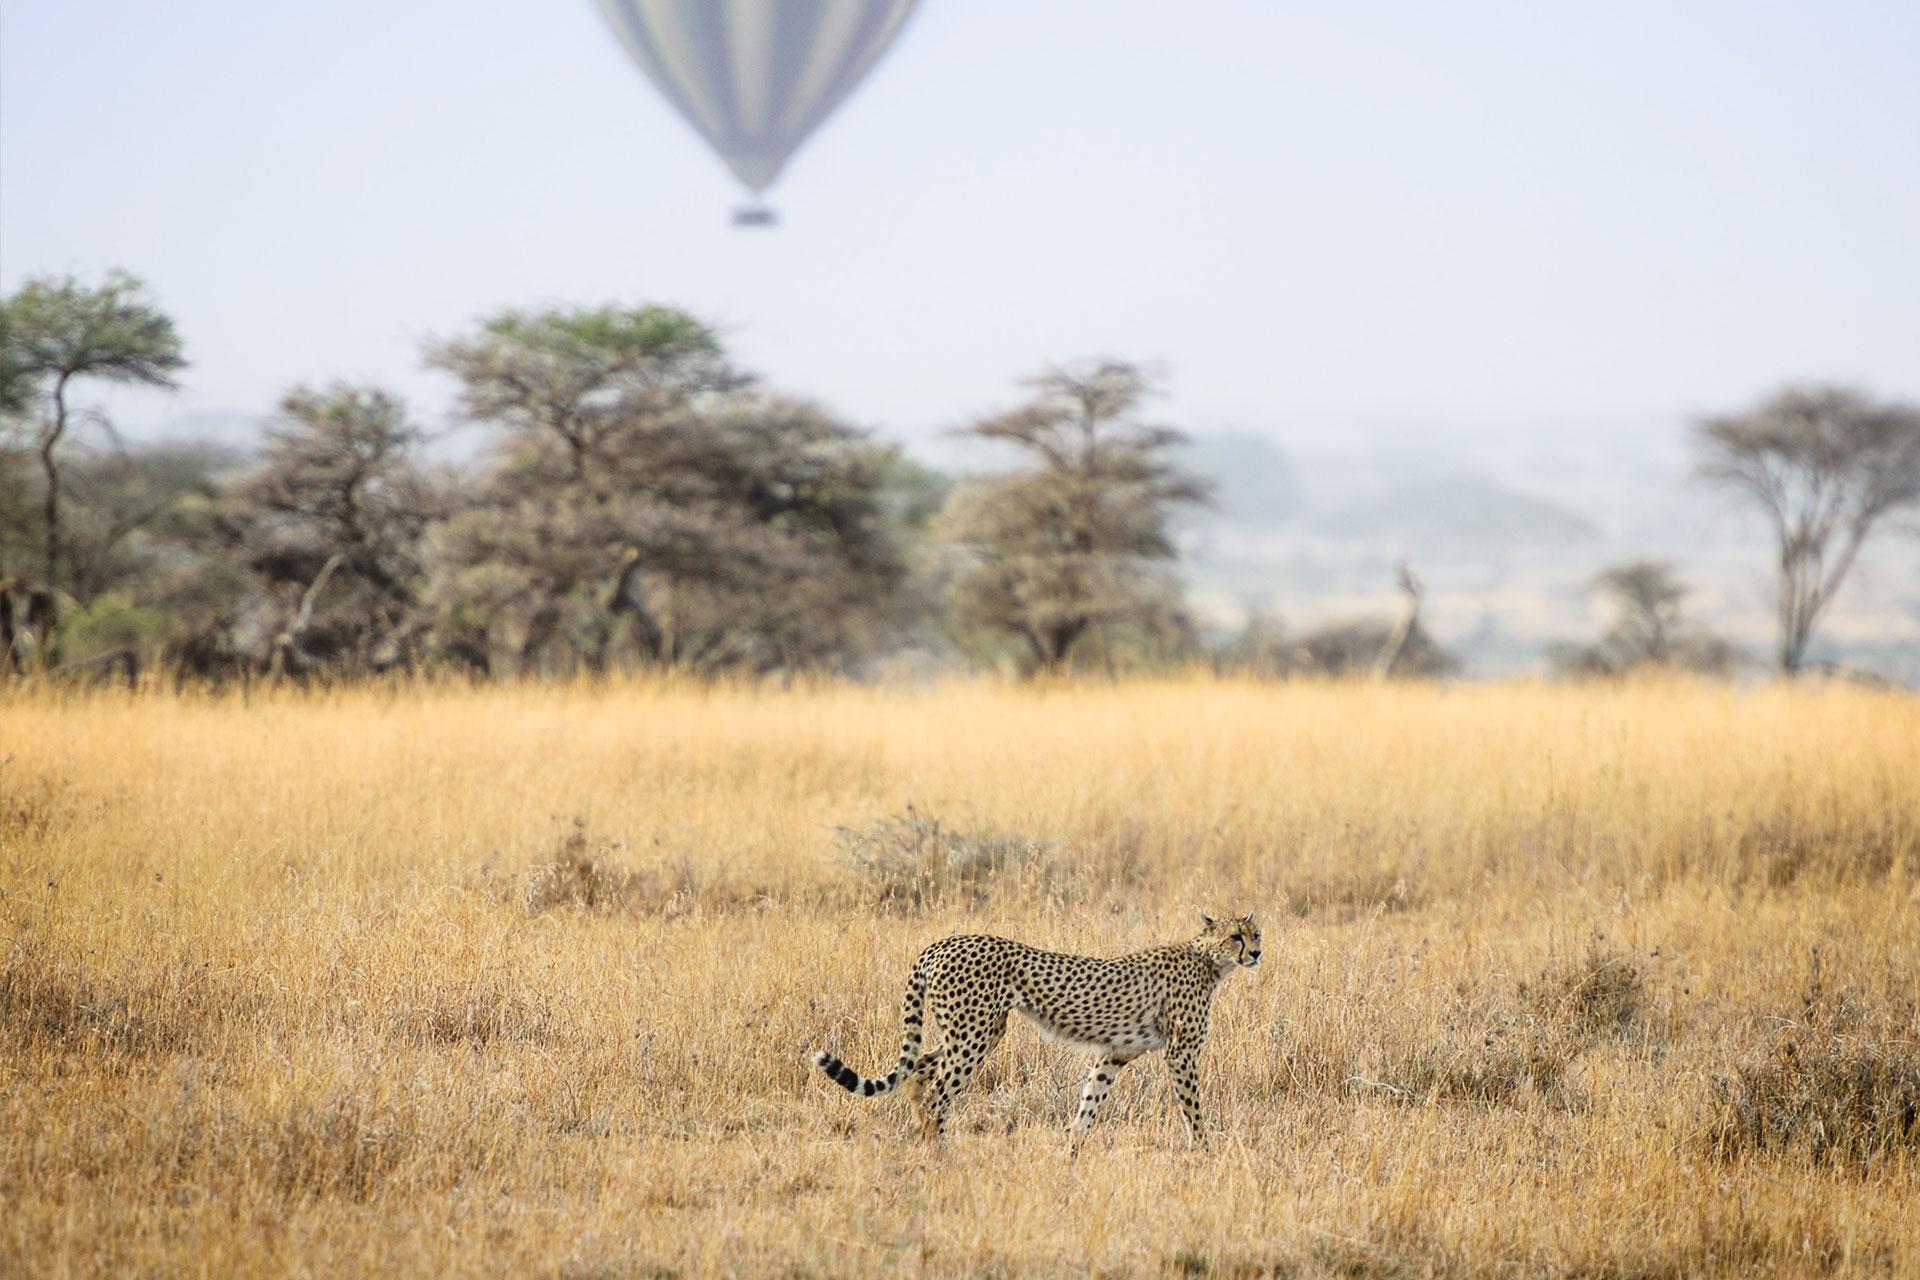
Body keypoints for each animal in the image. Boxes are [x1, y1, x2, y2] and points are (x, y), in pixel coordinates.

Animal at [810, 913, 1261, 1149]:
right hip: (973, 1034)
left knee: (918, 1071)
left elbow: (1089, 1101)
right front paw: (1204, 1152)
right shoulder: (1180, 1054)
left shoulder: (1114, 1053)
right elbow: (1193, 1109)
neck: (1209, 960)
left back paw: (926, 1142)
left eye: (1256, 933)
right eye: (1235, 937)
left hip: (978, 1031)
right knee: (937, 1091)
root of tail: (939, 944)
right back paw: (940, 1151)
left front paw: (1071, 1152)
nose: (1256, 953)